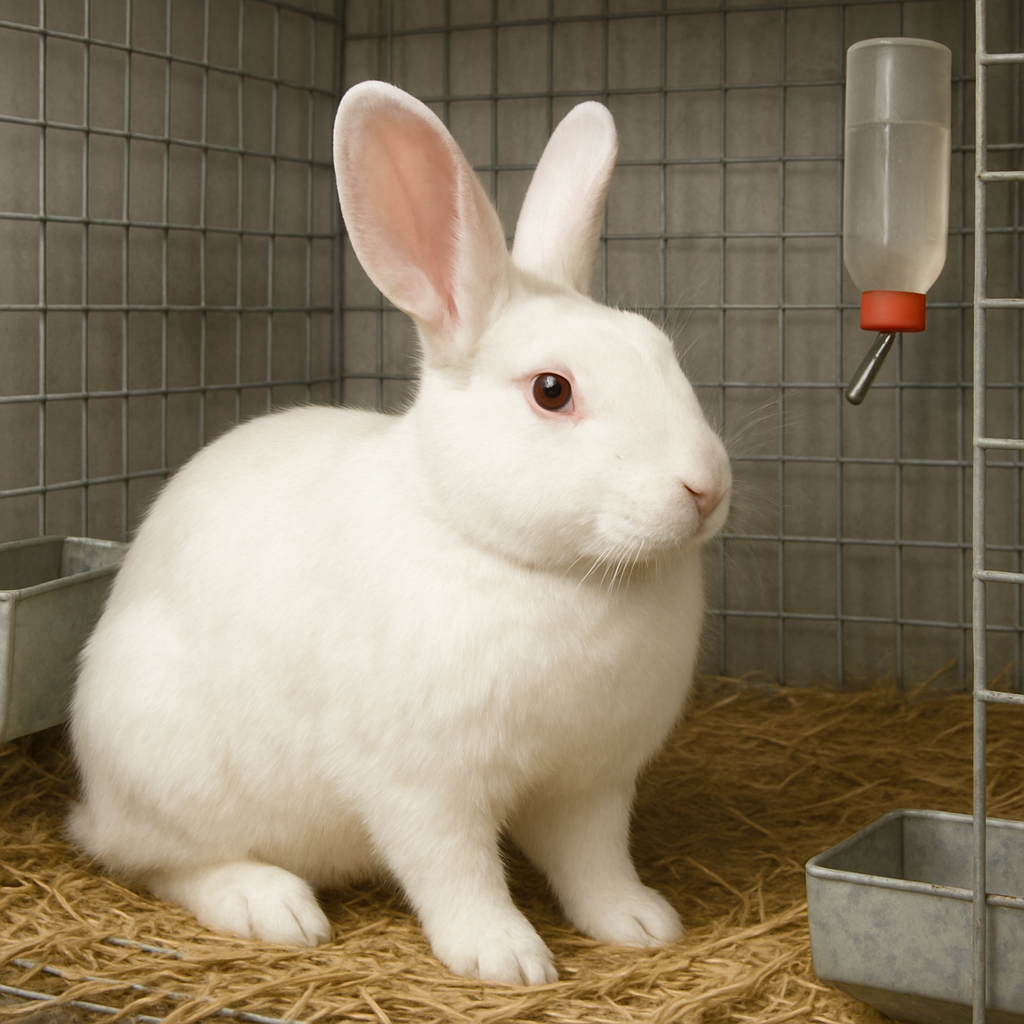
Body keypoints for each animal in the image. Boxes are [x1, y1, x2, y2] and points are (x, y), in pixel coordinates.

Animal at [68, 80, 732, 986]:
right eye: (551, 390)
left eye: (661, 350)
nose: (706, 487)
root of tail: (92, 800)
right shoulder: (423, 787)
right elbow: (454, 872)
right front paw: (506, 958)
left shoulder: (591, 784)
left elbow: (595, 864)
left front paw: (640, 922)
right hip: (168, 768)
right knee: (162, 862)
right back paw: (272, 905)